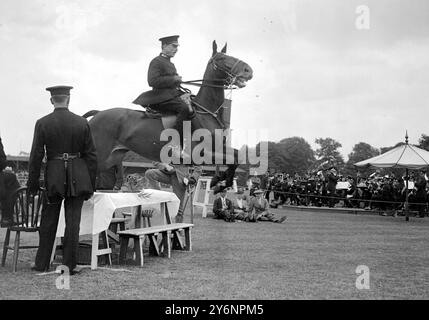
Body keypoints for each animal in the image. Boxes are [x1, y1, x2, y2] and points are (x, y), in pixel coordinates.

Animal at [82, 40, 252, 190]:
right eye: (222, 58)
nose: (248, 70)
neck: (206, 112)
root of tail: (98, 114)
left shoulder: (218, 147)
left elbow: (237, 157)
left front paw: (221, 181)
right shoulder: (201, 152)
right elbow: (232, 159)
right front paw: (220, 181)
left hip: (111, 158)